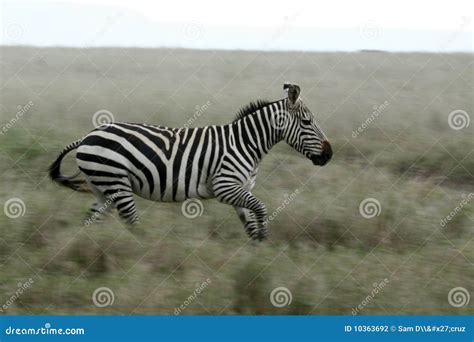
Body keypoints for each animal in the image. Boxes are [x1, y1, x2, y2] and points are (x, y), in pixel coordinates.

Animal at [48, 83, 330, 240]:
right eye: (307, 122)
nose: (329, 155)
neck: (245, 142)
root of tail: (87, 136)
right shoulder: (225, 186)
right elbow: (260, 209)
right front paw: (263, 240)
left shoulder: (239, 190)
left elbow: (249, 221)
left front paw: (257, 253)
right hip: (116, 183)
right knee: (131, 223)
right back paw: (139, 251)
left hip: (102, 187)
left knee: (90, 223)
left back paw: (89, 249)